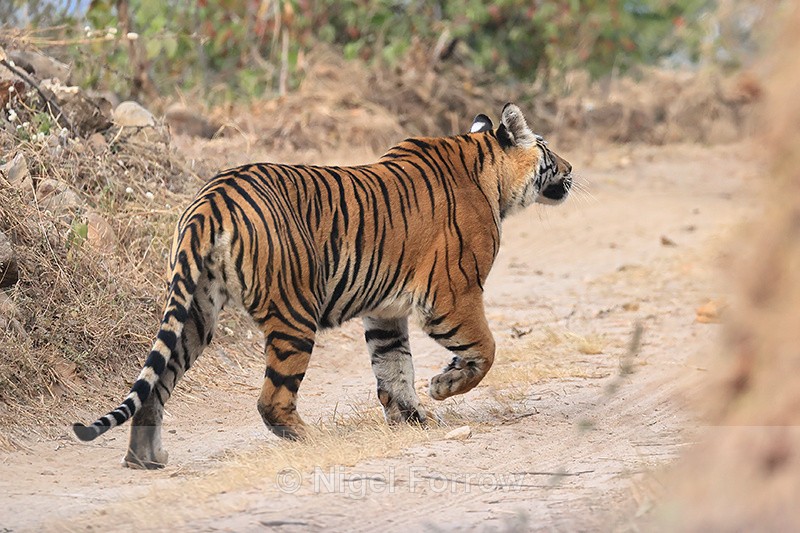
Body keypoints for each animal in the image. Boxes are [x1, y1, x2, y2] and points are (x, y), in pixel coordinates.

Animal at [72, 103, 573, 468]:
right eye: (547, 148)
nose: (571, 169)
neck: (488, 173)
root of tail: (212, 199)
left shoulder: (385, 312)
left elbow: (394, 367)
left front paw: (412, 419)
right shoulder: (454, 295)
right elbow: (485, 350)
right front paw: (442, 387)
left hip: (195, 311)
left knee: (156, 386)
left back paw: (145, 459)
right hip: (294, 314)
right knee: (271, 399)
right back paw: (311, 439)